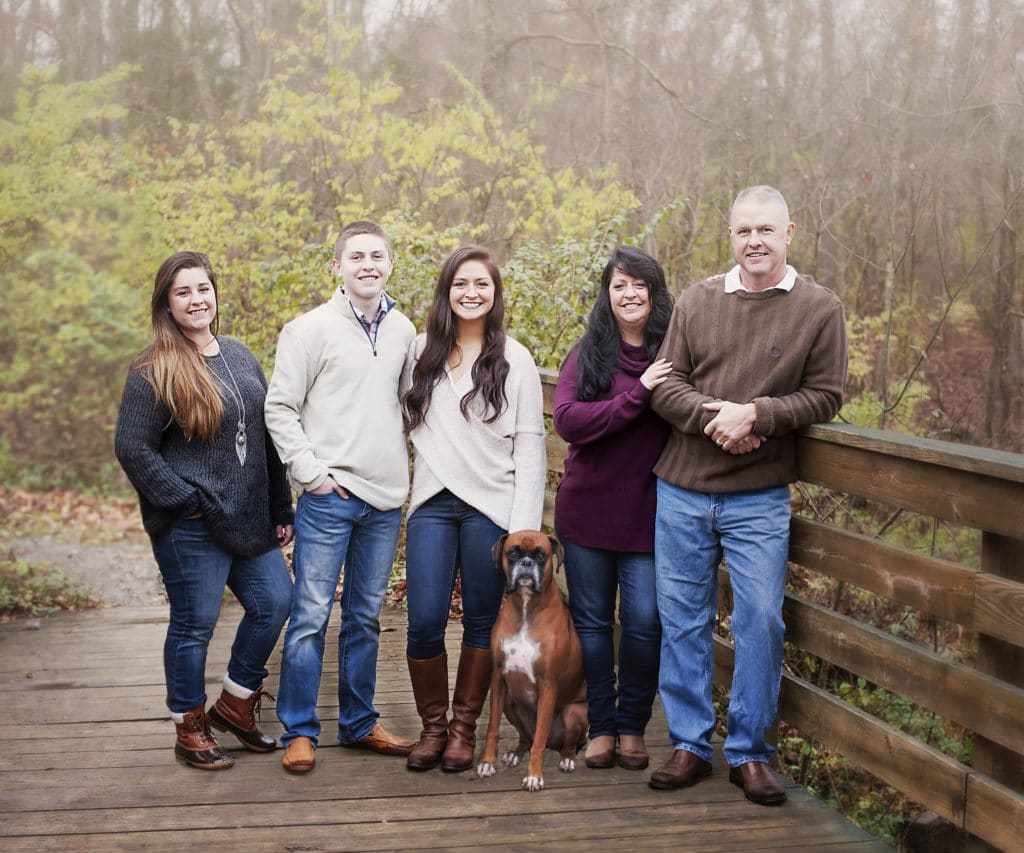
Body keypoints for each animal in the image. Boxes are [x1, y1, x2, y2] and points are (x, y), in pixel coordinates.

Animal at [475, 528, 589, 790]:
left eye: (540, 555)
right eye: (513, 553)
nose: (526, 564)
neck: (526, 606)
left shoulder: (548, 684)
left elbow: (540, 736)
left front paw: (534, 775)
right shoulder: (498, 676)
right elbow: (492, 727)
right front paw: (487, 762)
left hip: (574, 712)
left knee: (564, 744)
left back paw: (567, 759)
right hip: (510, 702)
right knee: (526, 737)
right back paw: (515, 754)